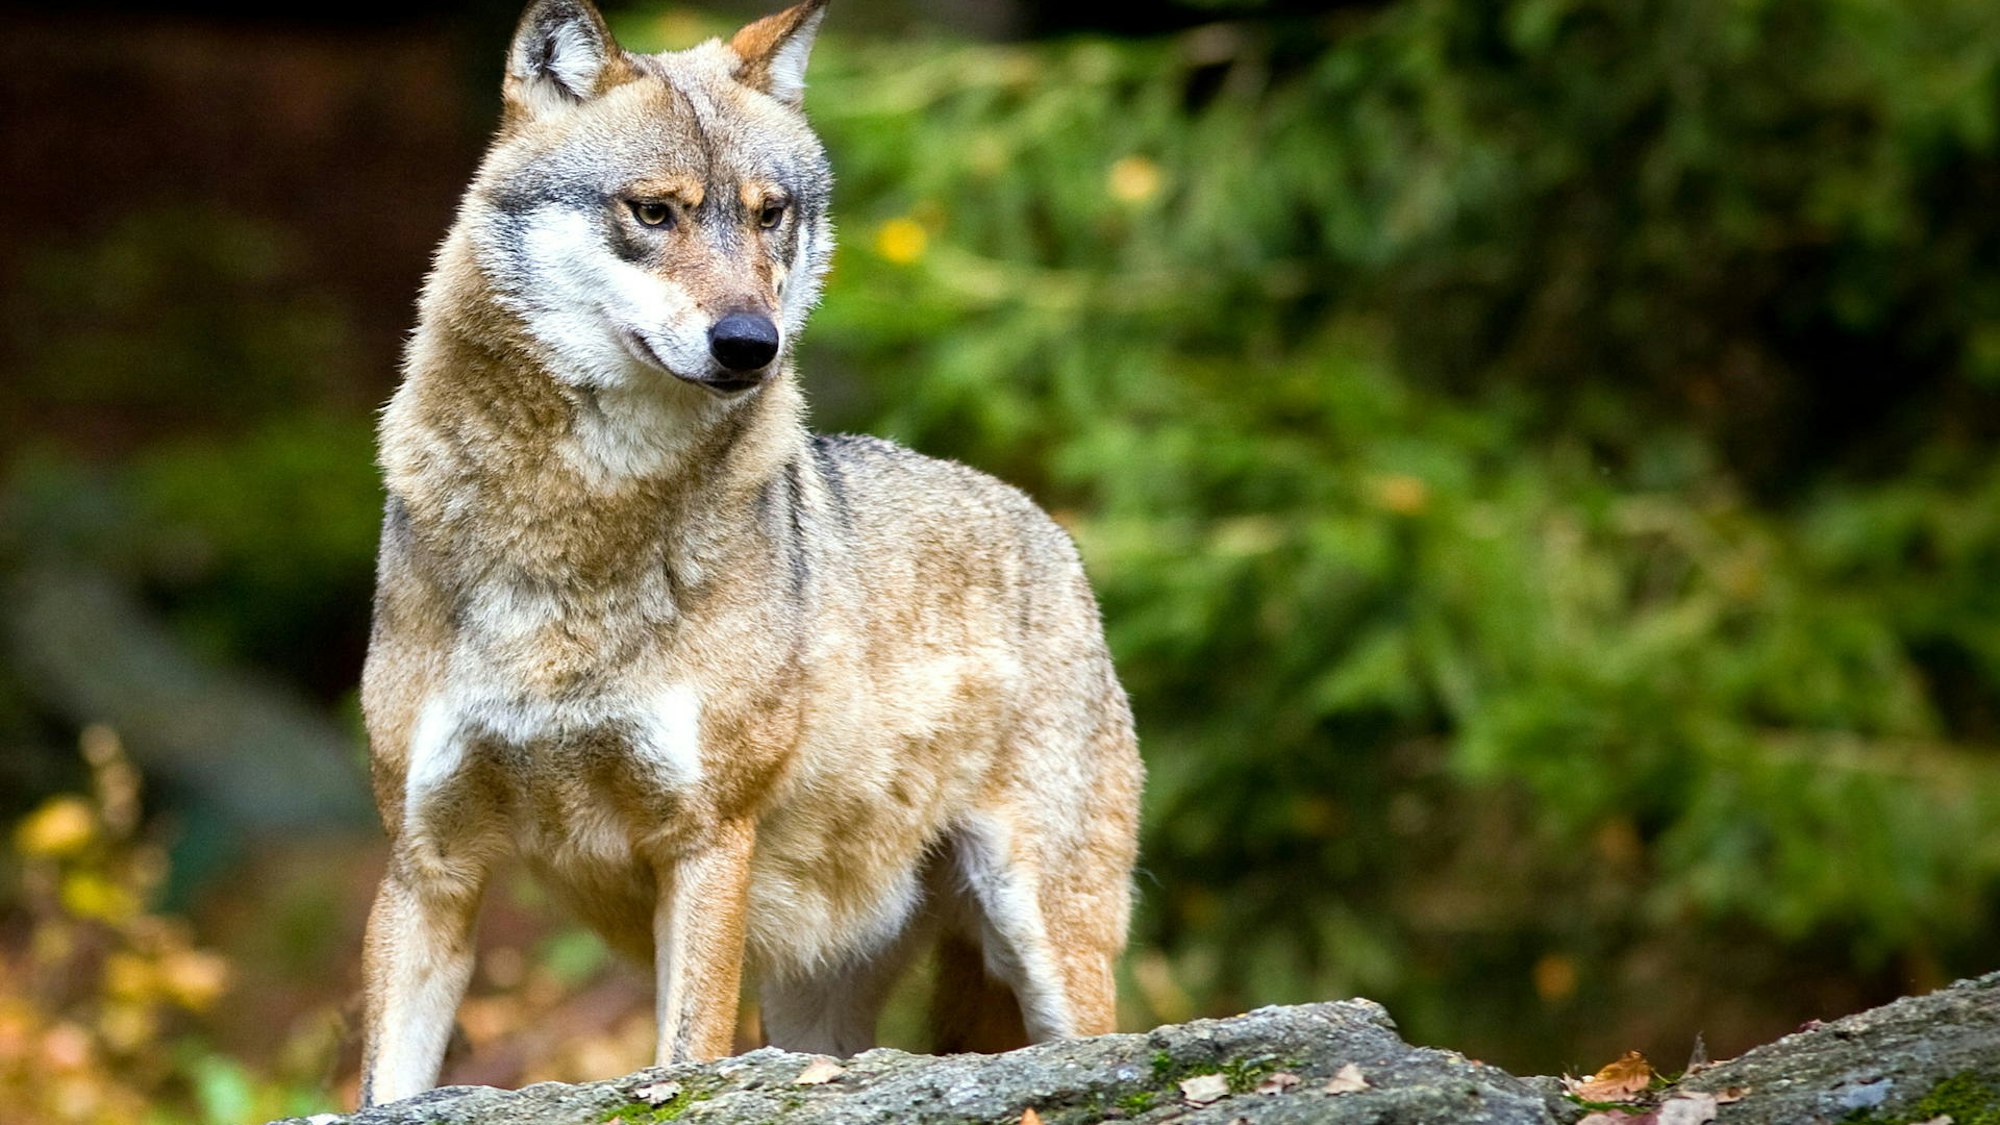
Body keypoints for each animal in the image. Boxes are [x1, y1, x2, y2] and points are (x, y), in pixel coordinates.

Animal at [356, 0, 1143, 1106]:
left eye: (770, 214)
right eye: (653, 212)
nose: (748, 342)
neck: (573, 528)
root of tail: (1048, 529)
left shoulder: (704, 841)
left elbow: (684, 1055)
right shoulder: (427, 863)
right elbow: (384, 1082)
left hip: (1046, 942)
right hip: (817, 1006)